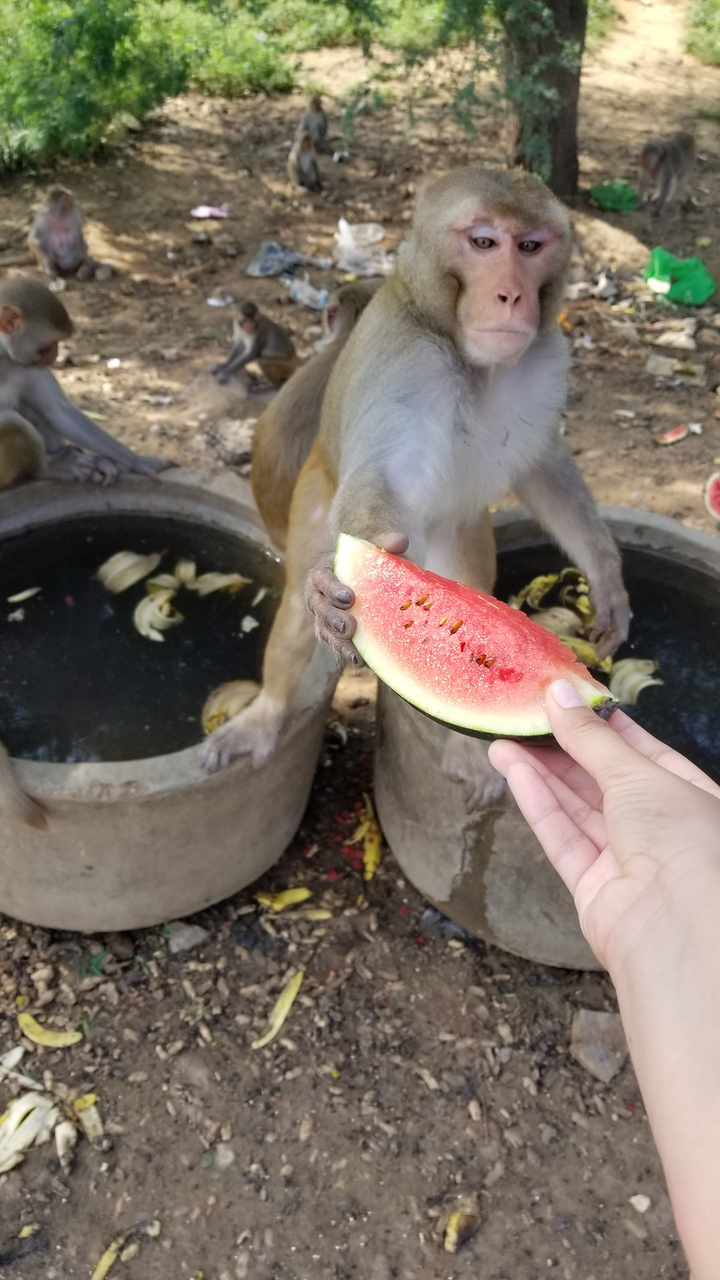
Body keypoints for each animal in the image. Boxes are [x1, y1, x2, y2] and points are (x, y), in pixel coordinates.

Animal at [0, 277, 168, 489]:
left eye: (58, 342)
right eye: (51, 343)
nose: (55, 356)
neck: (0, 356)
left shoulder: (25, 366)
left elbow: (58, 410)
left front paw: (138, 461)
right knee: (8, 420)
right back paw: (45, 468)